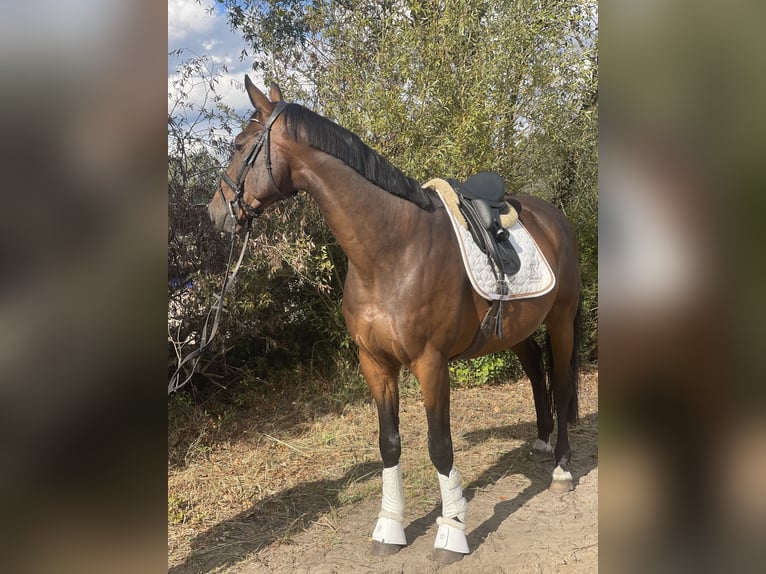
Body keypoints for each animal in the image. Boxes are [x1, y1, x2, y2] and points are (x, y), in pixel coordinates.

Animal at [210, 79, 584, 564]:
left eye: (240, 146)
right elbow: (389, 444)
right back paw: (540, 440)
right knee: (536, 369)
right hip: (516, 328)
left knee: (561, 383)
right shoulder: (375, 362)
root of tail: (556, 217)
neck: (391, 252)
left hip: (561, 318)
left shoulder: (431, 363)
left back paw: (560, 469)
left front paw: (452, 531)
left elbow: (440, 446)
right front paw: (389, 527)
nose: (215, 212)